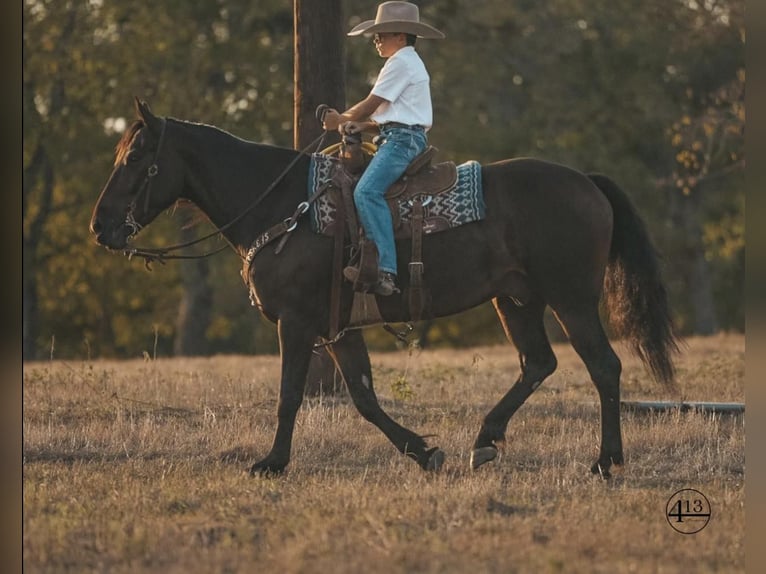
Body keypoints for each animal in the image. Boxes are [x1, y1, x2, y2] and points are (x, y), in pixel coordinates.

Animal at [87, 100, 680, 482]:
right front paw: (424, 452)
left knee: (603, 367)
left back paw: (604, 462)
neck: (285, 208)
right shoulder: (339, 328)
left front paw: (271, 463)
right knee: (538, 363)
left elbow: (290, 395)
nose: (100, 226)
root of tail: (586, 181)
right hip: (516, 299)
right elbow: (365, 396)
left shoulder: (298, 323)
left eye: (135, 158)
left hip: (571, 298)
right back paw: (485, 441)